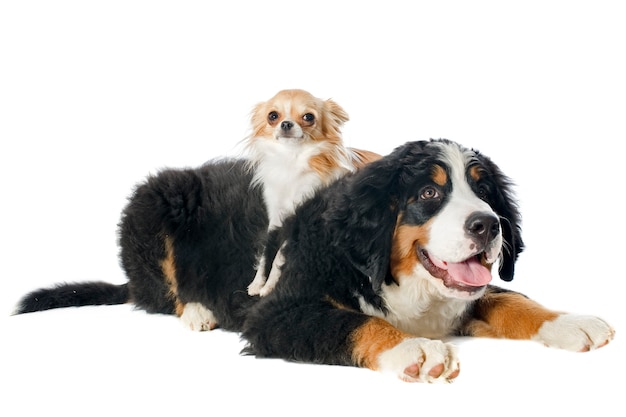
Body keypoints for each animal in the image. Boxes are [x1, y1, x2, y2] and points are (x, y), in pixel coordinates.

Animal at [15, 138, 616, 382]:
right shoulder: (278, 311)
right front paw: (413, 349)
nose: (488, 226)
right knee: (158, 294)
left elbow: (509, 297)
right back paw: (198, 310)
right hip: (156, 199)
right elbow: (353, 322)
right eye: (428, 193)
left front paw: (569, 322)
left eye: (484, 191)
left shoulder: (461, 297)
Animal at [246, 88, 378, 296]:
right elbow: (266, 253)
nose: (286, 123)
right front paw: (257, 283)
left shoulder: (298, 218)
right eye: (272, 116)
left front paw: (269, 286)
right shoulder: (275, 217)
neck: (290, 160)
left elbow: (279, 257)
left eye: (308, 117)